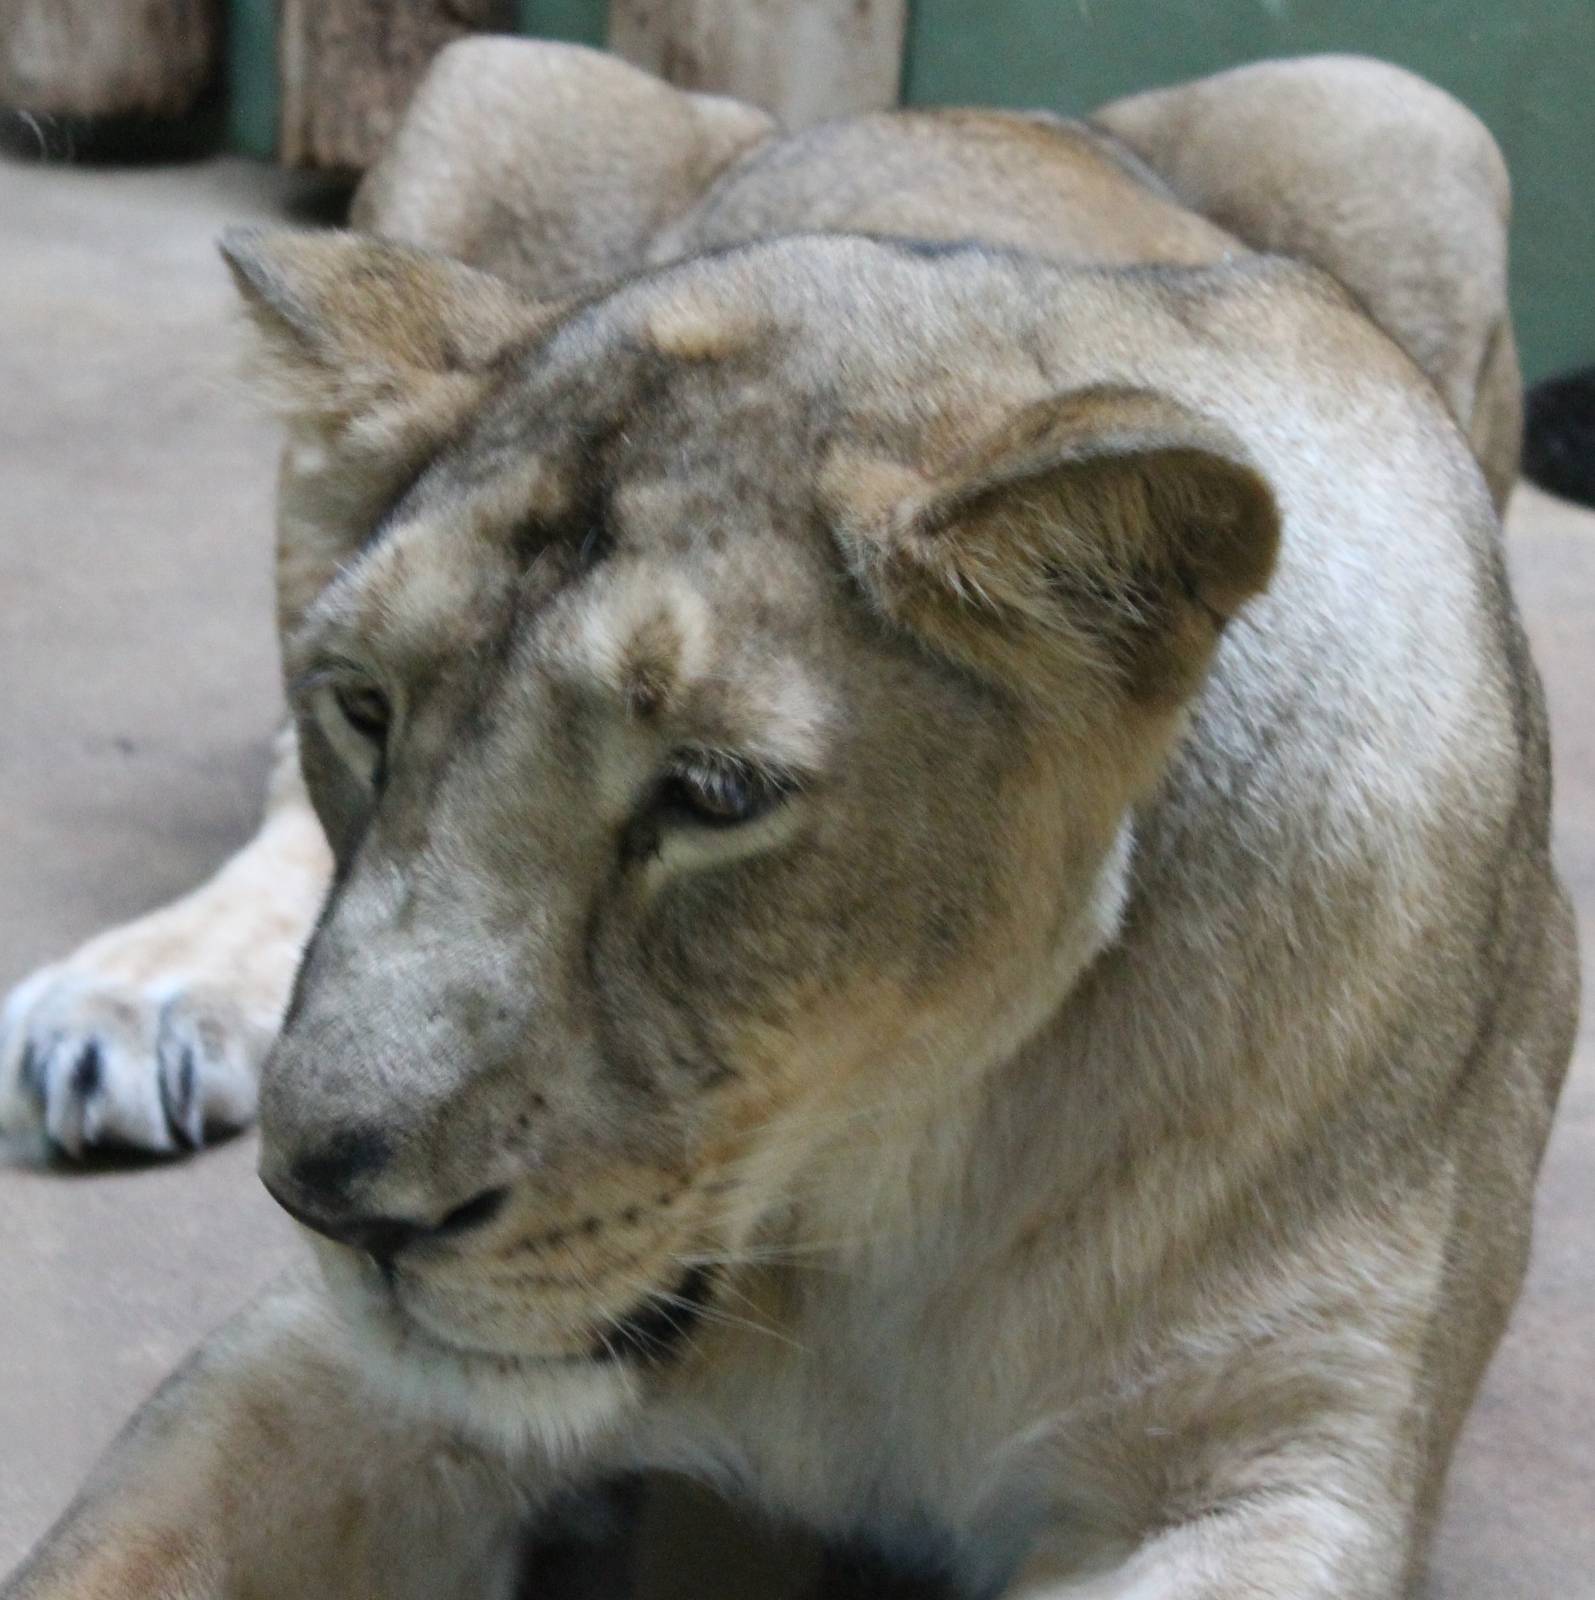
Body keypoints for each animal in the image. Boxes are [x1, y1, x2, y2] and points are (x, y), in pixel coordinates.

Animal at [0, 42, 1576, 1600]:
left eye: (713, 796)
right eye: (367, 708)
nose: (327, 1202)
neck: (889, 1199)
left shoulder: (1280, 1471)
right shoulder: (322, 1363)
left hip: (1396, 120)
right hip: (492, 86)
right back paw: (135, 1004)